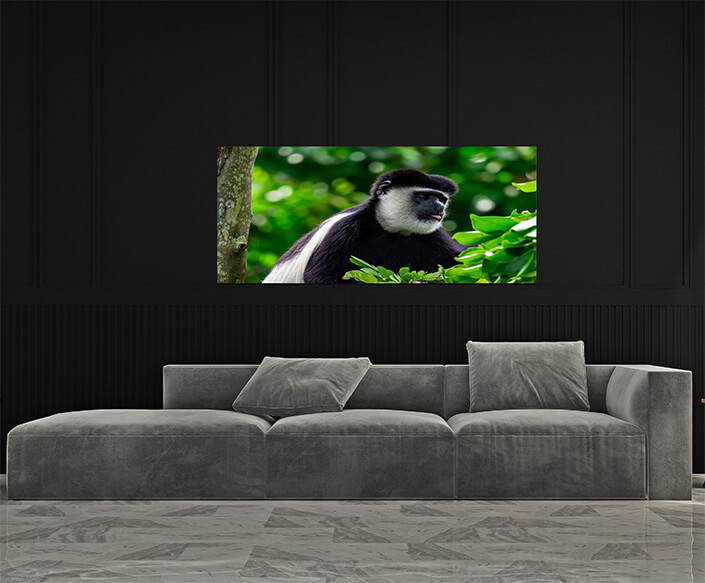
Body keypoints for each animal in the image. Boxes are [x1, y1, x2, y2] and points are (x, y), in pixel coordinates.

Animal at [262, 168, 466, 284]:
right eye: (423, 196)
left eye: (441, 198)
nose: (439, 207)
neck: (390, 229)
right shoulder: (344, 230)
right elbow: (320, 275)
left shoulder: (432, 234)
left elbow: (458, 261)